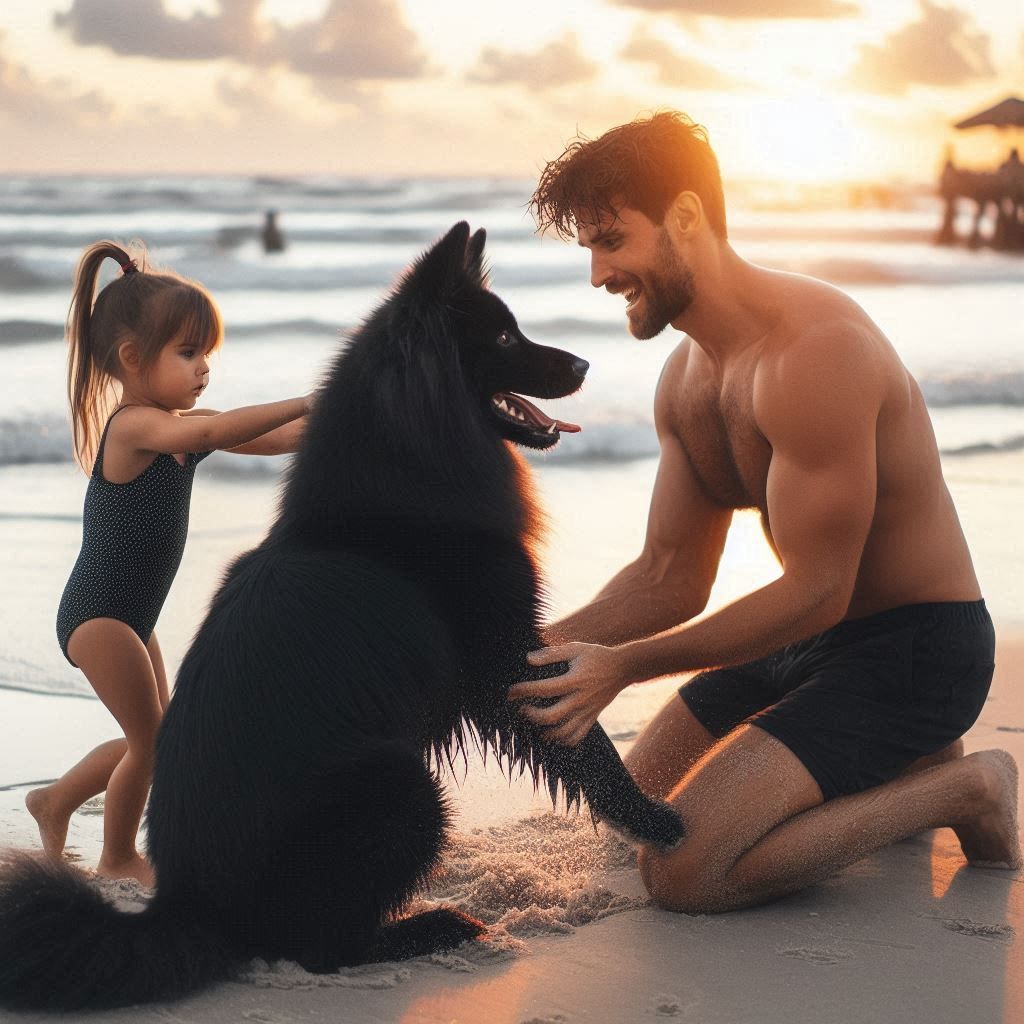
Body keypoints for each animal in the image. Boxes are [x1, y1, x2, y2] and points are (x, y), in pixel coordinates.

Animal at [4, 220, 688, 1011]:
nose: (584, 361)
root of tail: (190, 908)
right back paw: (434, 926)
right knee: (321, 949)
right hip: (408, 793)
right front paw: (655, 819)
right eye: (504, 337)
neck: (406, 471)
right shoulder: (505, 653)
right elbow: (588, 747)